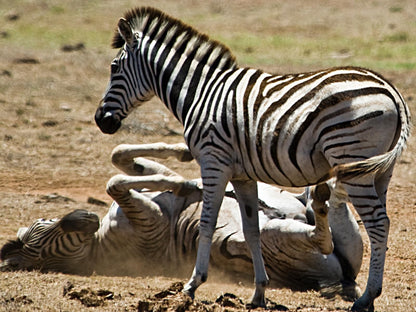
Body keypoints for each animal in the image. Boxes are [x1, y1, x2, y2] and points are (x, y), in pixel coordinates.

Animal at [0, 143, 362, 298]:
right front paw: (188, 183)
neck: (98, 243)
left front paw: (184, 165)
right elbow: (115, 181)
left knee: (330, 202)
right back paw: (321, 196)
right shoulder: (149, 222)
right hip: (264, 236)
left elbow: (120, 157)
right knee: (319, 235)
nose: (83, 218)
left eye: (44, 221)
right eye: (46, 240)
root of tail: (338, 280)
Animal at [94, 7, 410, 312]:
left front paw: (193, 284)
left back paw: (366, 298)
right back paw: (368, 295)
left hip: (355, 162)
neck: (200, 93)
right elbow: (251, 230)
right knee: (380, 224)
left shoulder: (214, 162)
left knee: (377, 224)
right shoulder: (242, 175)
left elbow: (207, 221)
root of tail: (391, 90)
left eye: (114, 67)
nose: (101, 121)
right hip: (380, 171)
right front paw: (259, 292)